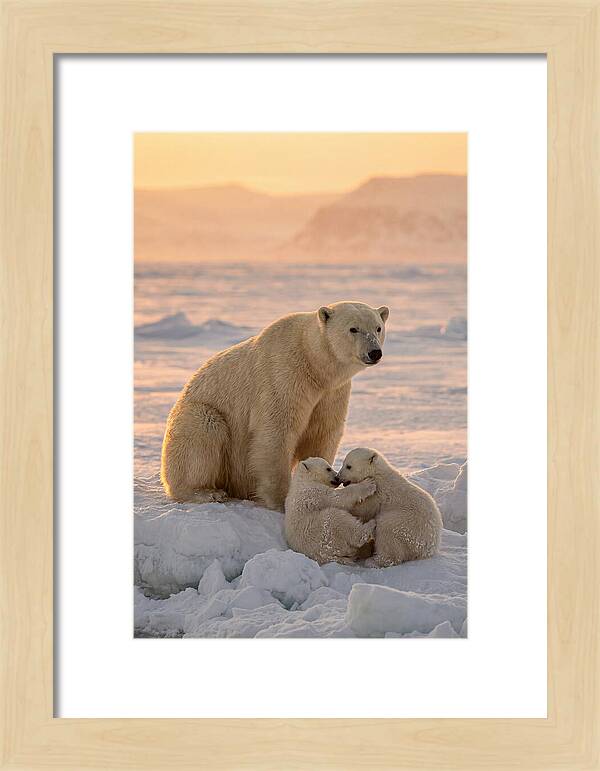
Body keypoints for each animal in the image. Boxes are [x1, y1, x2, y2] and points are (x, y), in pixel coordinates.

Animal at [161, 302, 389, 509]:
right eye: (353, 328)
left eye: (377, 327)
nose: (374, 352)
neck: (313, 364)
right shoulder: (284, 375)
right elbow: (276, 432)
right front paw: (282, 500)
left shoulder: (331, 393)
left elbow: (322, 432)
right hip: (197, 415)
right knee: (203, 431)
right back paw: (207, 492)